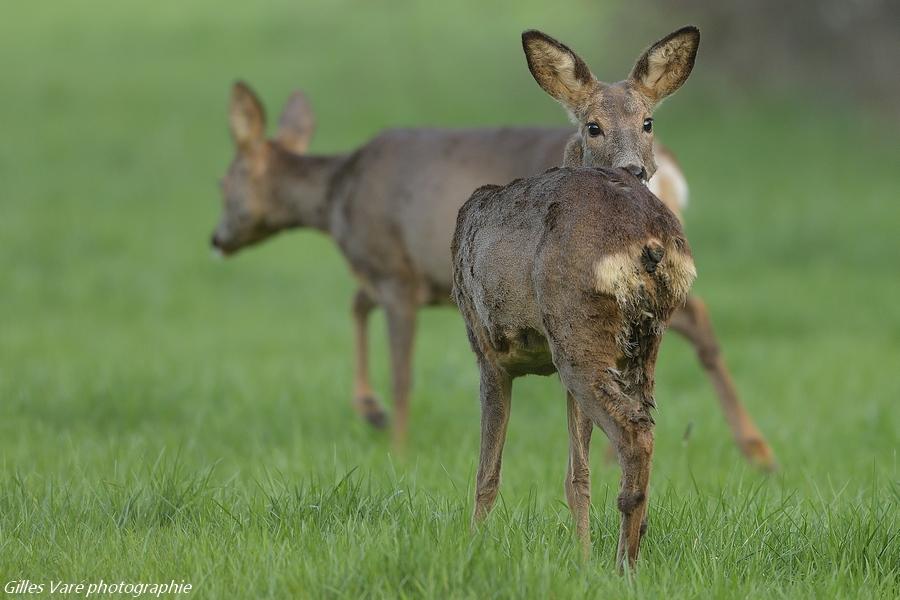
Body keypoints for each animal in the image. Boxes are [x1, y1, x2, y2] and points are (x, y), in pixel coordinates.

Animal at [209, 27, 772, 468]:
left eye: (222, 182)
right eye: (593, 126)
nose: (216, 238)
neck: (336, 199)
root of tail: (669, 172)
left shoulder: (395, 270)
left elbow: (401, 369)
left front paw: (395, 443)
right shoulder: (410, 277)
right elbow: (356, 303)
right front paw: (369, 410)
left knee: (693, 320)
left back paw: (755, 450)